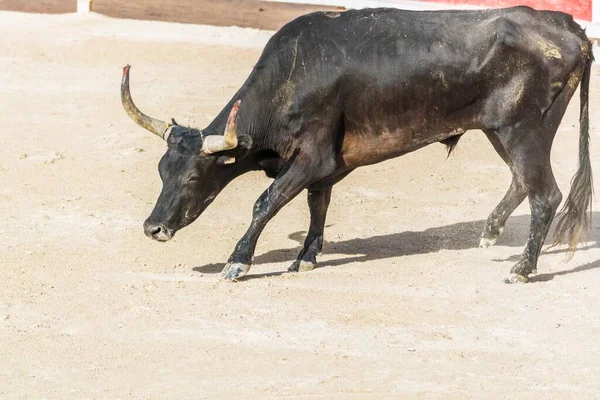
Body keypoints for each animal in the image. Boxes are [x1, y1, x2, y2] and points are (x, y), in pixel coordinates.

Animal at [122, 5, 596, 282]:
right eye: (162, 171)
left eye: (194, 176)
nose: (153, 228)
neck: (290, 78)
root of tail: (571, 28)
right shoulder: (324, 168)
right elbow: (317, 205)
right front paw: (306, 256)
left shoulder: (312, 157)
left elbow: (266, 201)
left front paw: (238, 261)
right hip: (500, 131)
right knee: (522, 181)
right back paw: (491, 232)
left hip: (525, 129)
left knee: (544, 193)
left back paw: (522, 268)